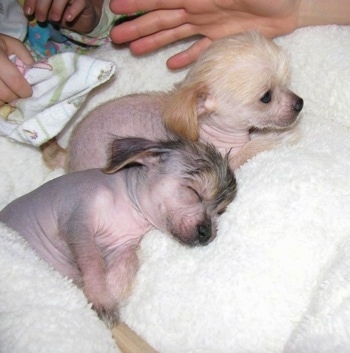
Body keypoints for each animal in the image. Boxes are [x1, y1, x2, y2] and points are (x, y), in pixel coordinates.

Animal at [0, 136, 237, 324]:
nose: (207, 233)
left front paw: (111, 291)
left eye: (220, 212)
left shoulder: (122, 245)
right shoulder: (77, 221)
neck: (129, 210)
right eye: (193, 192)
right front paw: (100, 299)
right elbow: (93, 261)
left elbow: (127, 266)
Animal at [43, 31, 302, 171]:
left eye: (286, 81)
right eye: (266, 97)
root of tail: (67, 156)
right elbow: (252, 148)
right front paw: (278, 139)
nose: (300, 103)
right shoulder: (225, 159)